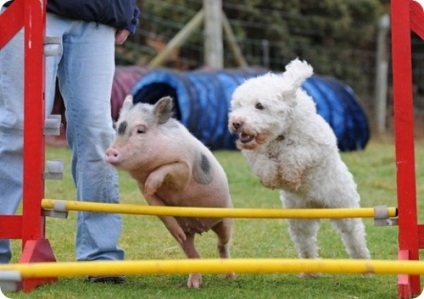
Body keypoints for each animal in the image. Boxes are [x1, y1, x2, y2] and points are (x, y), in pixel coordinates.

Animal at [104, 95, 234, 288]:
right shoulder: (140, 185)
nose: (110, 151)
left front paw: (152, 184)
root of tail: (201, 227)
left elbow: (166, 169)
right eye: (117, 127)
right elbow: (155, 204)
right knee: (193, 253)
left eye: (141, 130)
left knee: (222, 244)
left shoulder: (184, 167)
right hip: (189, 235)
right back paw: (193, 285)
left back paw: (230, 277)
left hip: (225, 219)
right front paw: (151, 192)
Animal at [229, 58, 372, 270]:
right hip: (299, 219)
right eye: (238, 105)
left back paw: (364, 262)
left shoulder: (317, 146)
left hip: (344, 207)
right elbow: (263, 162)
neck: (280, 136)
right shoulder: (254, 154)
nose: (236, 122)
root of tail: (317, 205)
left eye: (259, 105)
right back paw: (310, 270)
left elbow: (295, 154)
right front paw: (271, 177)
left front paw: (290, 174)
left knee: (354, 236)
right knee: (306, 243)